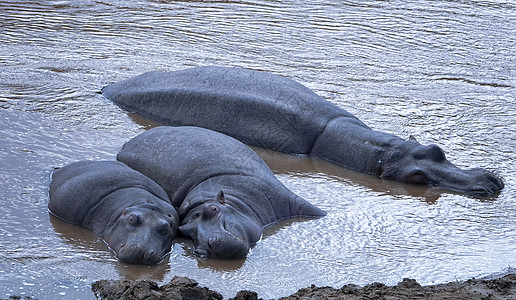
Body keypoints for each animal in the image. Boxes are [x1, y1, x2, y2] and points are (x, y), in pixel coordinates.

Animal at [117, 125, 326, 258]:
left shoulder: (289, 200)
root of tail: (127, 144)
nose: (207, 247)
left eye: (213, 209)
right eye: (184, 231)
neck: (239, 201)